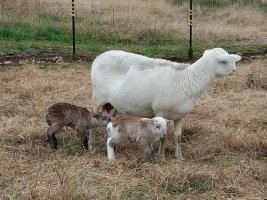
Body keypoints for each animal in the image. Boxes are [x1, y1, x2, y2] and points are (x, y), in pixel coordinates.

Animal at [90, 47, 243, 160]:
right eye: (225, 61)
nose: (235, 70)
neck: (188, 79)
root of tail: (99, 57)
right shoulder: (161, 113)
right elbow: (163, 137)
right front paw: (161, 156)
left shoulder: (179, 116)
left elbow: (178, 137)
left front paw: (179, 157)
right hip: (97, 97)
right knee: (93, 120)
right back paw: (91, 145)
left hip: (114, 103)